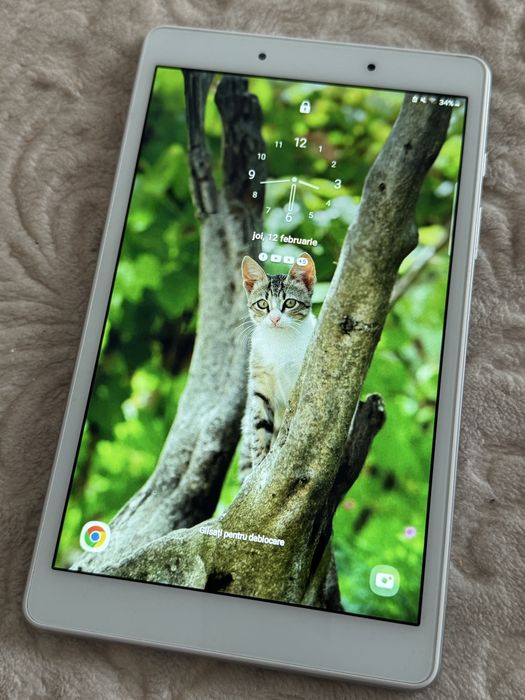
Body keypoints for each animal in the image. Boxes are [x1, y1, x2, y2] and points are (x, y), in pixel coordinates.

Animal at [239, 252, 317, 476]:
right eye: (262, 304)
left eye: (289, 303)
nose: (274, 319)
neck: (279, 342)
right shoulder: (259, 385)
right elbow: (259, 429)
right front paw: (258, 465)